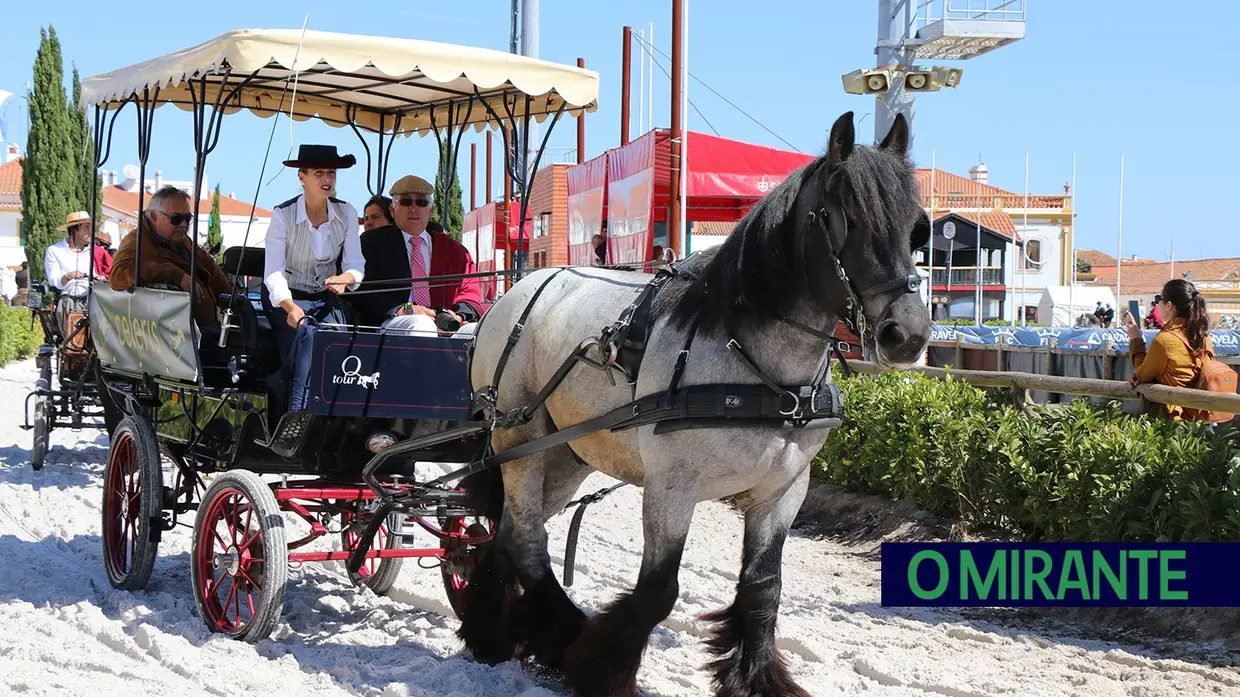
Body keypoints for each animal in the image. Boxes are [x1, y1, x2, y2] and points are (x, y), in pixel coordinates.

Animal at [456, 110, 932, 689]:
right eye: (849, 221)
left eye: (916, 228)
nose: (907, 334)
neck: (759, 373)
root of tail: (513, 294)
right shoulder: (671, 488)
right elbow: (657, 592)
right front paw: (601, 669)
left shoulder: (783, 491)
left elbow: (762, 589)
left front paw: (758, 680)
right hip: (518, 439)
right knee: (526, 538)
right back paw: (558, 634)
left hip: (563, 453)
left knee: (508, 532)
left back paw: (500, 630)